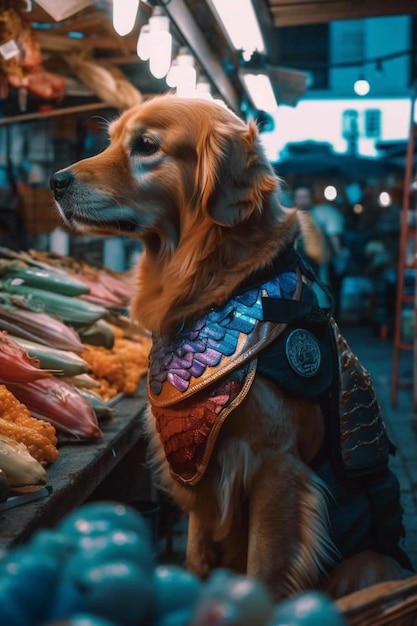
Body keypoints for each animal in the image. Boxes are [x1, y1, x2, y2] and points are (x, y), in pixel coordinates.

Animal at [50, 95, 412, 596]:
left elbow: (265, 572)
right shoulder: (201, 479)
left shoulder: (276, 468)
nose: (55, 182)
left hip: (369, 565)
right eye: (111, 140)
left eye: (146, 146)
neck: (213, 285)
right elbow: (197, 559)